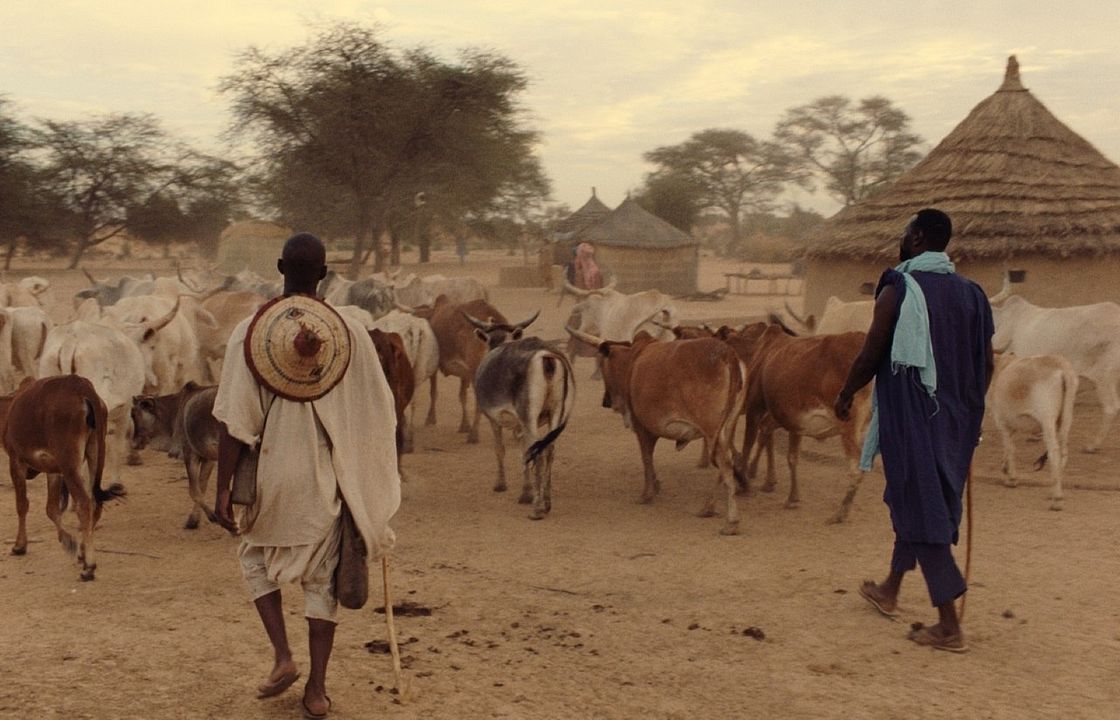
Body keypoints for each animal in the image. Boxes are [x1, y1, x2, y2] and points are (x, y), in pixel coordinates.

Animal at [3, 373, 123, 582]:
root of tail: (83, 388)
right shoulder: (54, 471)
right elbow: (51, 509)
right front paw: (71, 542)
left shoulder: (16, 461)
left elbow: (22, 505)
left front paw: (20, 545)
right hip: (96, 451)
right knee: (95, 502)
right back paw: (83, 551)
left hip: (69, 463)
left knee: (84, 503)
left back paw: (89, 567)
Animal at [470, 313, 577, 521]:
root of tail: (547, 357)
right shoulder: (520, 425)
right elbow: (523, 451)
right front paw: (526, 491)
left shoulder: (495, 419)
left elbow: (500, 449)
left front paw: (501, 485)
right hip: (556, 413)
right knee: (548, 450)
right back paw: (547, 502)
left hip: (530, 416)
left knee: (539, 452)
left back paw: (537, 509)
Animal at [568, 326, 743, 535]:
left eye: (602, 365)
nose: (606, 401)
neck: (632, 361)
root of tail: (727, 353)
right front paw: (656, 486)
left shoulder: (641, 427)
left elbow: (646, 458)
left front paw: (647, 494)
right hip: (726, 427)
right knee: (727, 461)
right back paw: (708, 508)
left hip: (710, 428)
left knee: (724, 463)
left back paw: (731, 522)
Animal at [743, 326, 873, 524]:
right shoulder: (792, 420)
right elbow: (788, 453)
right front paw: (786, 493)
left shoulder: (755, 406)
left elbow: (749, 444)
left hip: (849, 427)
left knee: (856, 468)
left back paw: (841, 512)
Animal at [994, 351, 1079, 510]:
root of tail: (1062, 369)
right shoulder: (1011, 426)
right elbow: (1009, 448)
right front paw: (1005, 468)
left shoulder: (1003, 423)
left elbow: (1010, 448)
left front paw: (1012, 478)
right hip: (1066, 417)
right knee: (1063, 452)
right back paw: (1054, 490)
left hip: (1047, 418)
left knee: (1054, 452)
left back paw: (1057, 499)